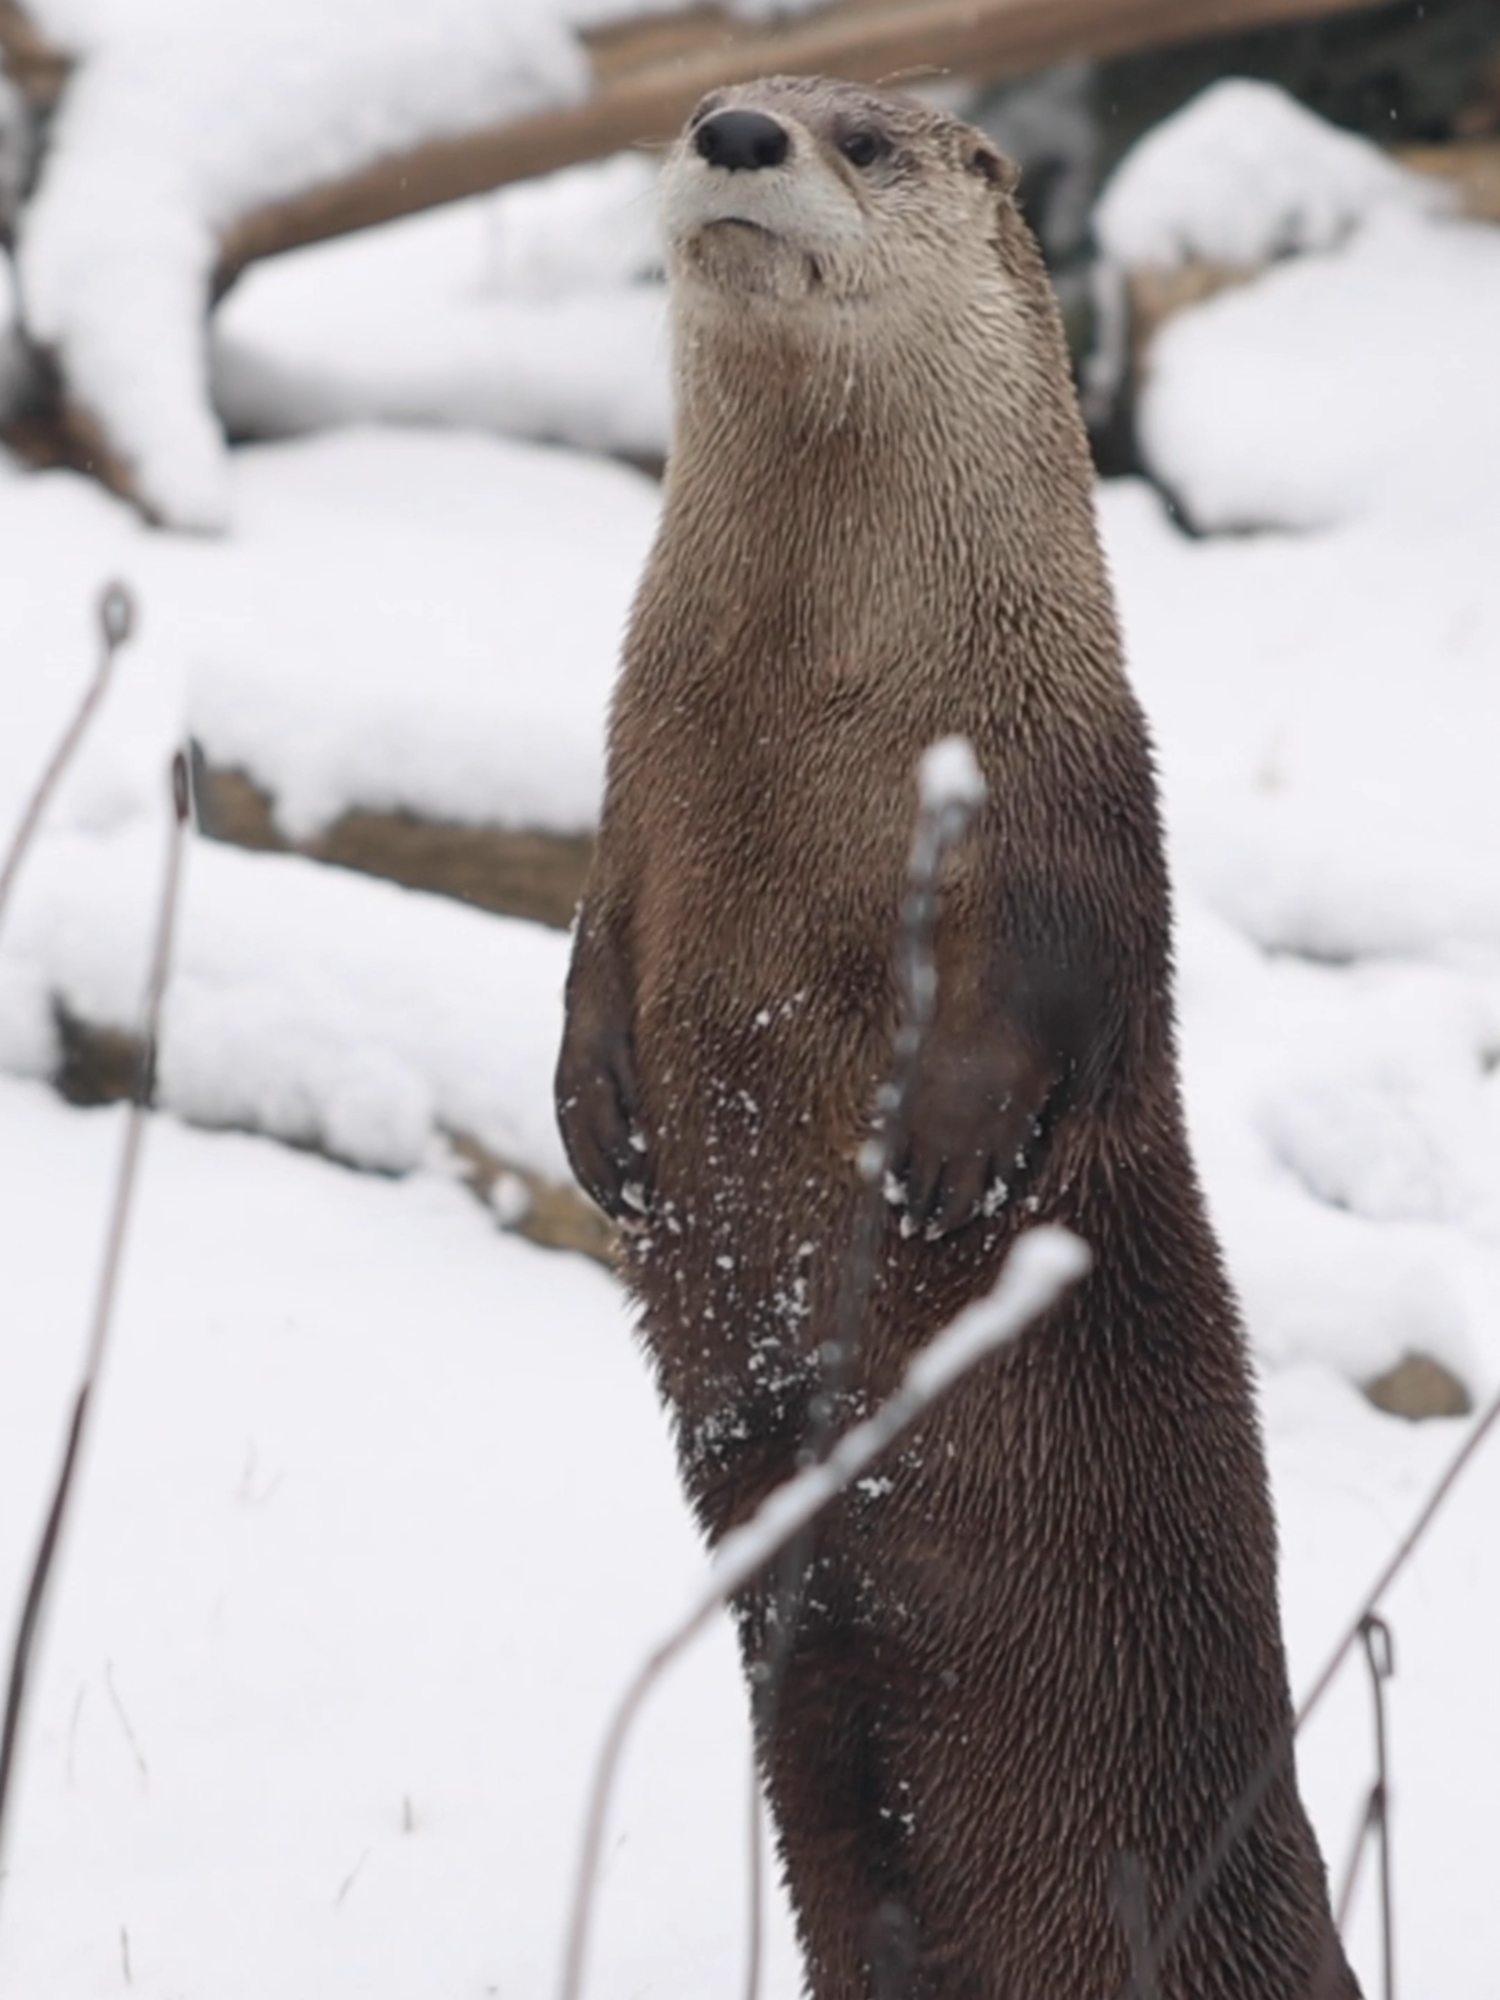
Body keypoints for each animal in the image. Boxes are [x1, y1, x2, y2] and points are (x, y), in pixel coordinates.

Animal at [560, 74, 1360, 2000]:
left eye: (864, 139)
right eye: (719, 111)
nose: (736, 127)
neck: (801, 714)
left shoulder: (1069, 792)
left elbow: (1076, 972)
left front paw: (938, 1146)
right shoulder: (630, 786)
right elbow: (591, 945)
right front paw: (595, 1118)